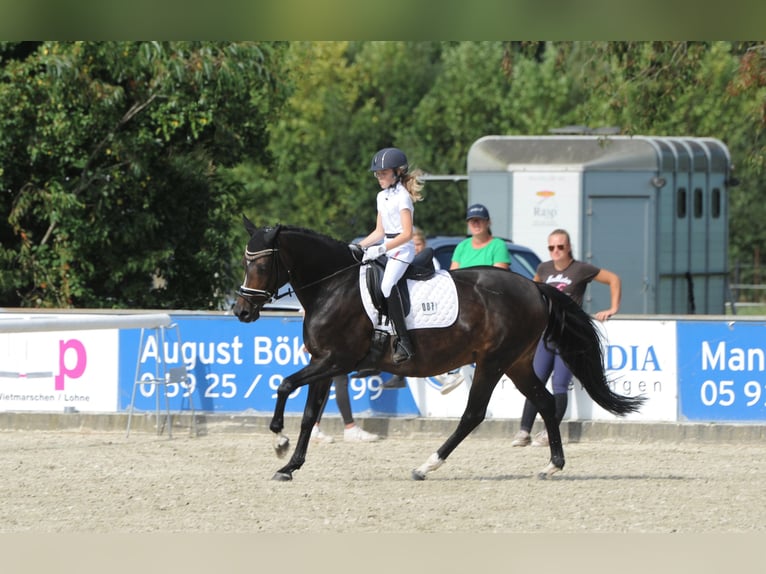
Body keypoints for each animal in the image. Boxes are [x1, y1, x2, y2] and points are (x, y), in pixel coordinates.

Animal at [232, 217, 645, 481]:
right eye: (244, 262)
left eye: (261, 265)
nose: (242, 310)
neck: (332, 286)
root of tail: (534, 285)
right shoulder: (325, 362)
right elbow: (307, 414)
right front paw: (289, 466)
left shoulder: (335, 360)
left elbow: (285, 385)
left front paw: (279, 440)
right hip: (518, 362)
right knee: (543, 401)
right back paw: (553, 465)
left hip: (492, 361)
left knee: (473, 414)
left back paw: (427, 465)